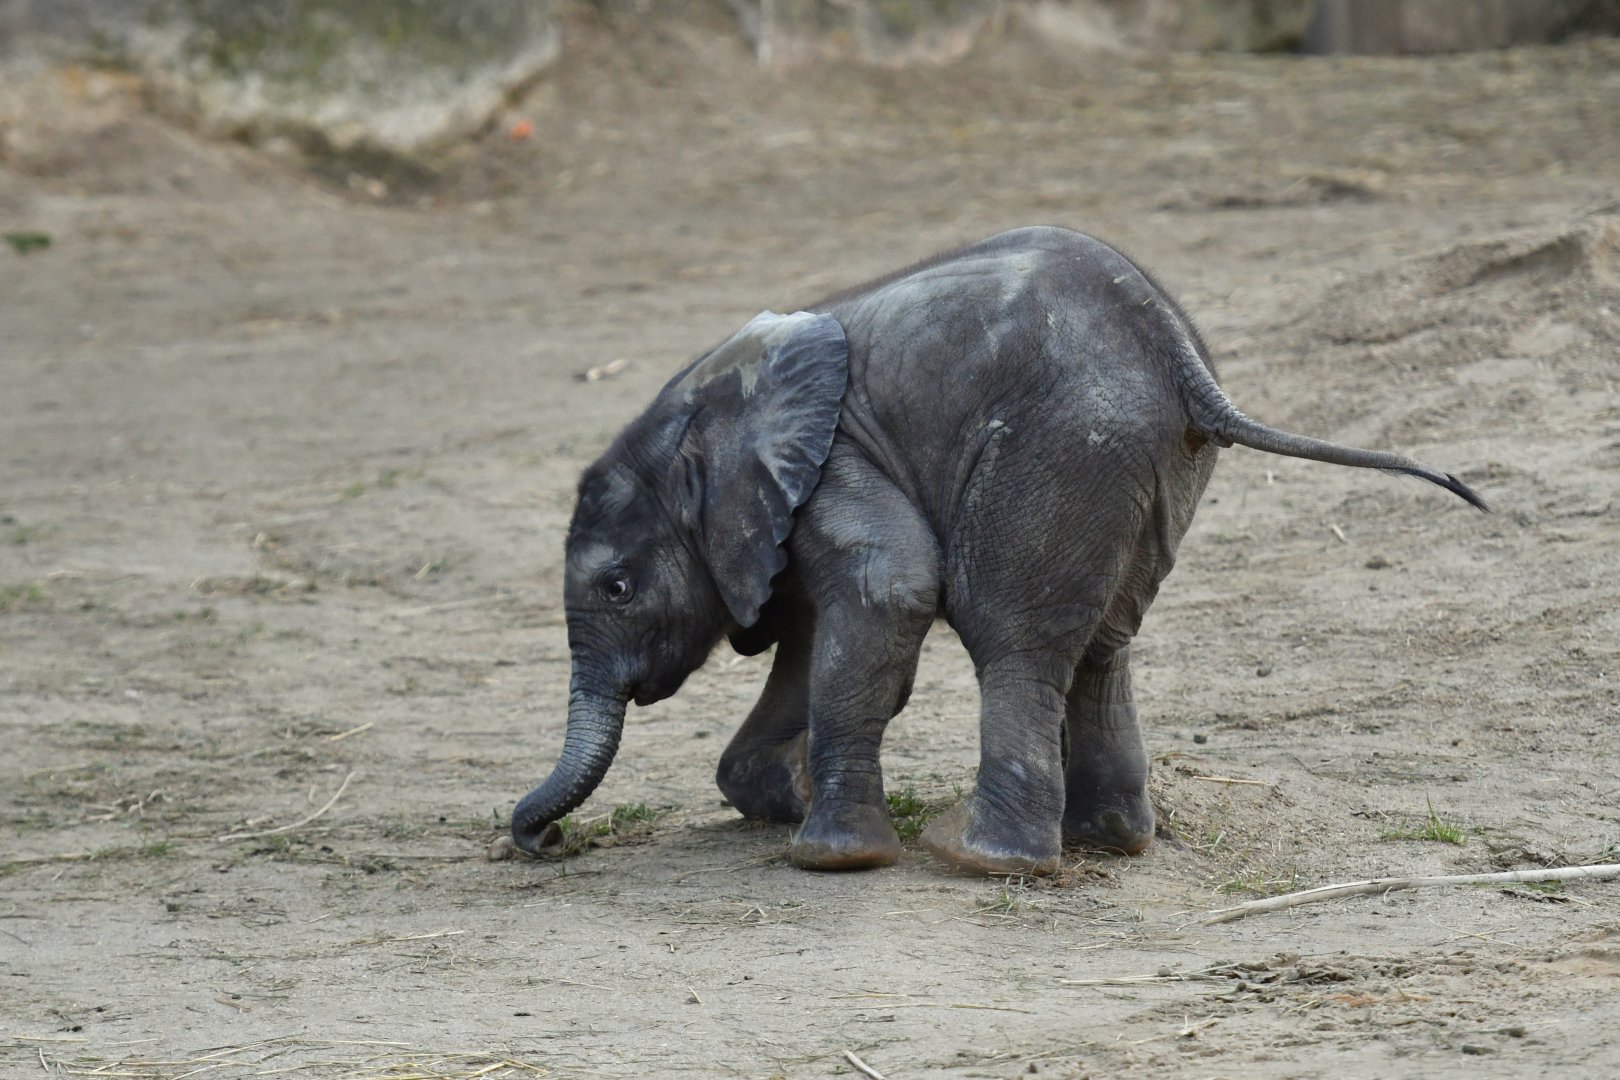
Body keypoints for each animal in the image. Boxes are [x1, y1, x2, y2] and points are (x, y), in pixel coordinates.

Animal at [510, 226, 1485, 876]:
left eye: (619, 586)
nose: (543, 839)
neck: (704, 407)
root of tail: (1183, 362)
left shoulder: (836, 460)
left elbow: (887, 593)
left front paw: (831, 857)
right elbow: (815, 632)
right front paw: (783, 801)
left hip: (1058, 450)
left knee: (1011, 636)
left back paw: (985, 859)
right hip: (1152, 466)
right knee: (1102, 648)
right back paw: (1108, 842)